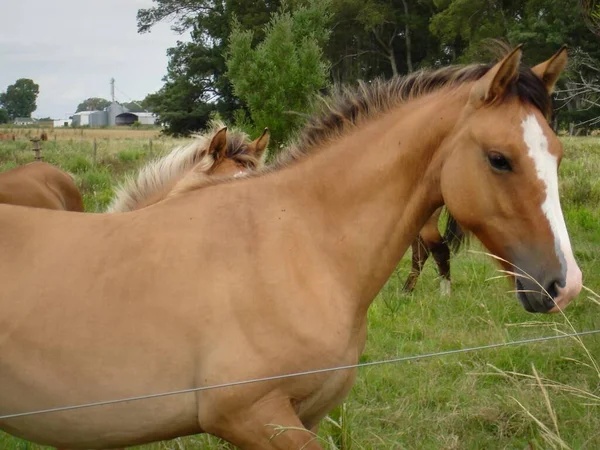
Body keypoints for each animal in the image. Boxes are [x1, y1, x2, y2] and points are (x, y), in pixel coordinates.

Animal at [0, 46, 580, 450]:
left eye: (556, 151)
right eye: (499, 158)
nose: (565, 285)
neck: (296, 244)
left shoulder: (302, 414)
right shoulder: (253, 416)